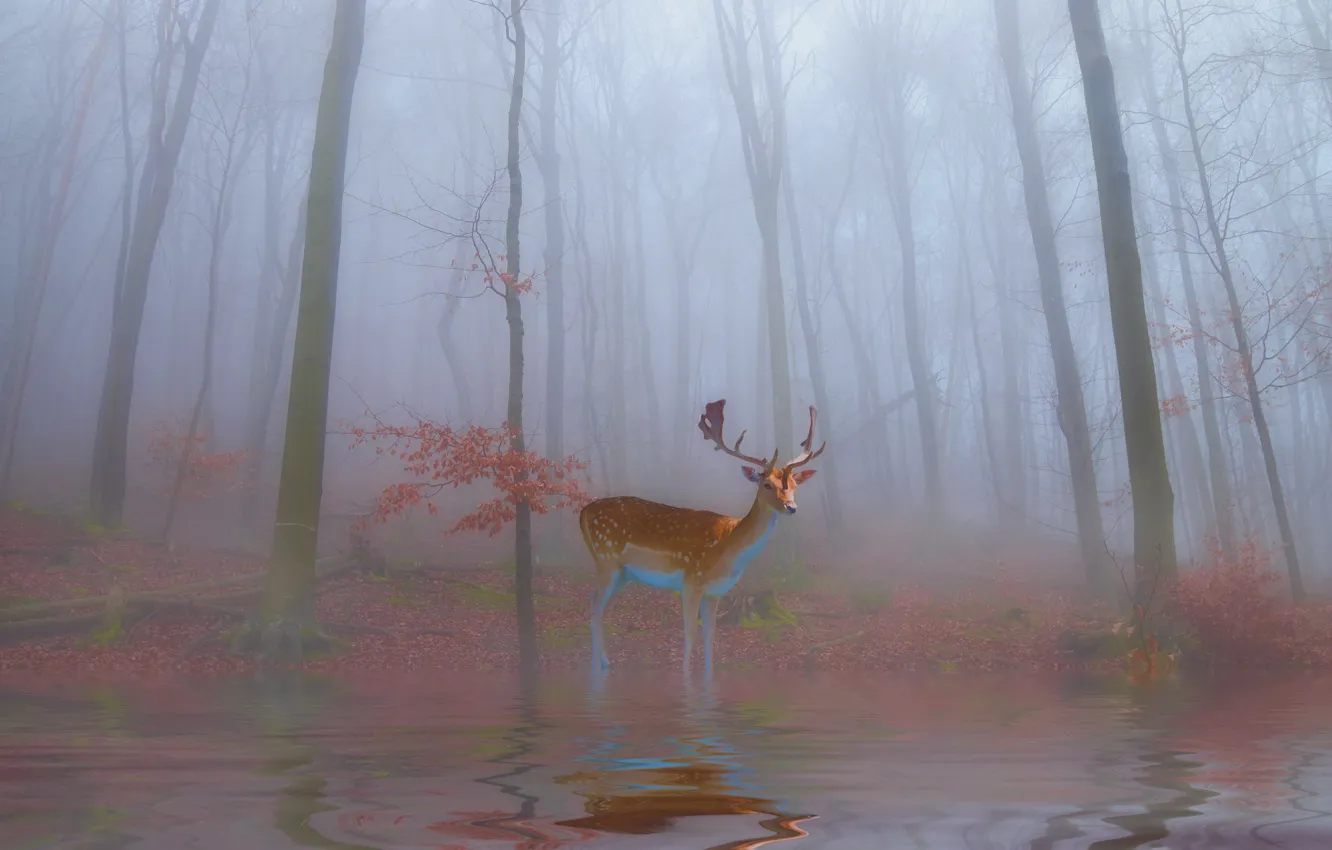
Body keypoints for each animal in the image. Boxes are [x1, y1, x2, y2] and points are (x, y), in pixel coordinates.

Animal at [579, 399, 825, 678]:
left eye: (794, 485)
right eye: (766, 485)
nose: (791, 507)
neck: (728, 548)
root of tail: (583, 512)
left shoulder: (715, 591)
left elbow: (711, 636)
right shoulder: (691, 581)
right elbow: (690, 634)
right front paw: (686, 677)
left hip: (622, 574)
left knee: (595, 603)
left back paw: (604, 662)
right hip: (606, 559)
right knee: (594, 604)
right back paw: (599, 666)